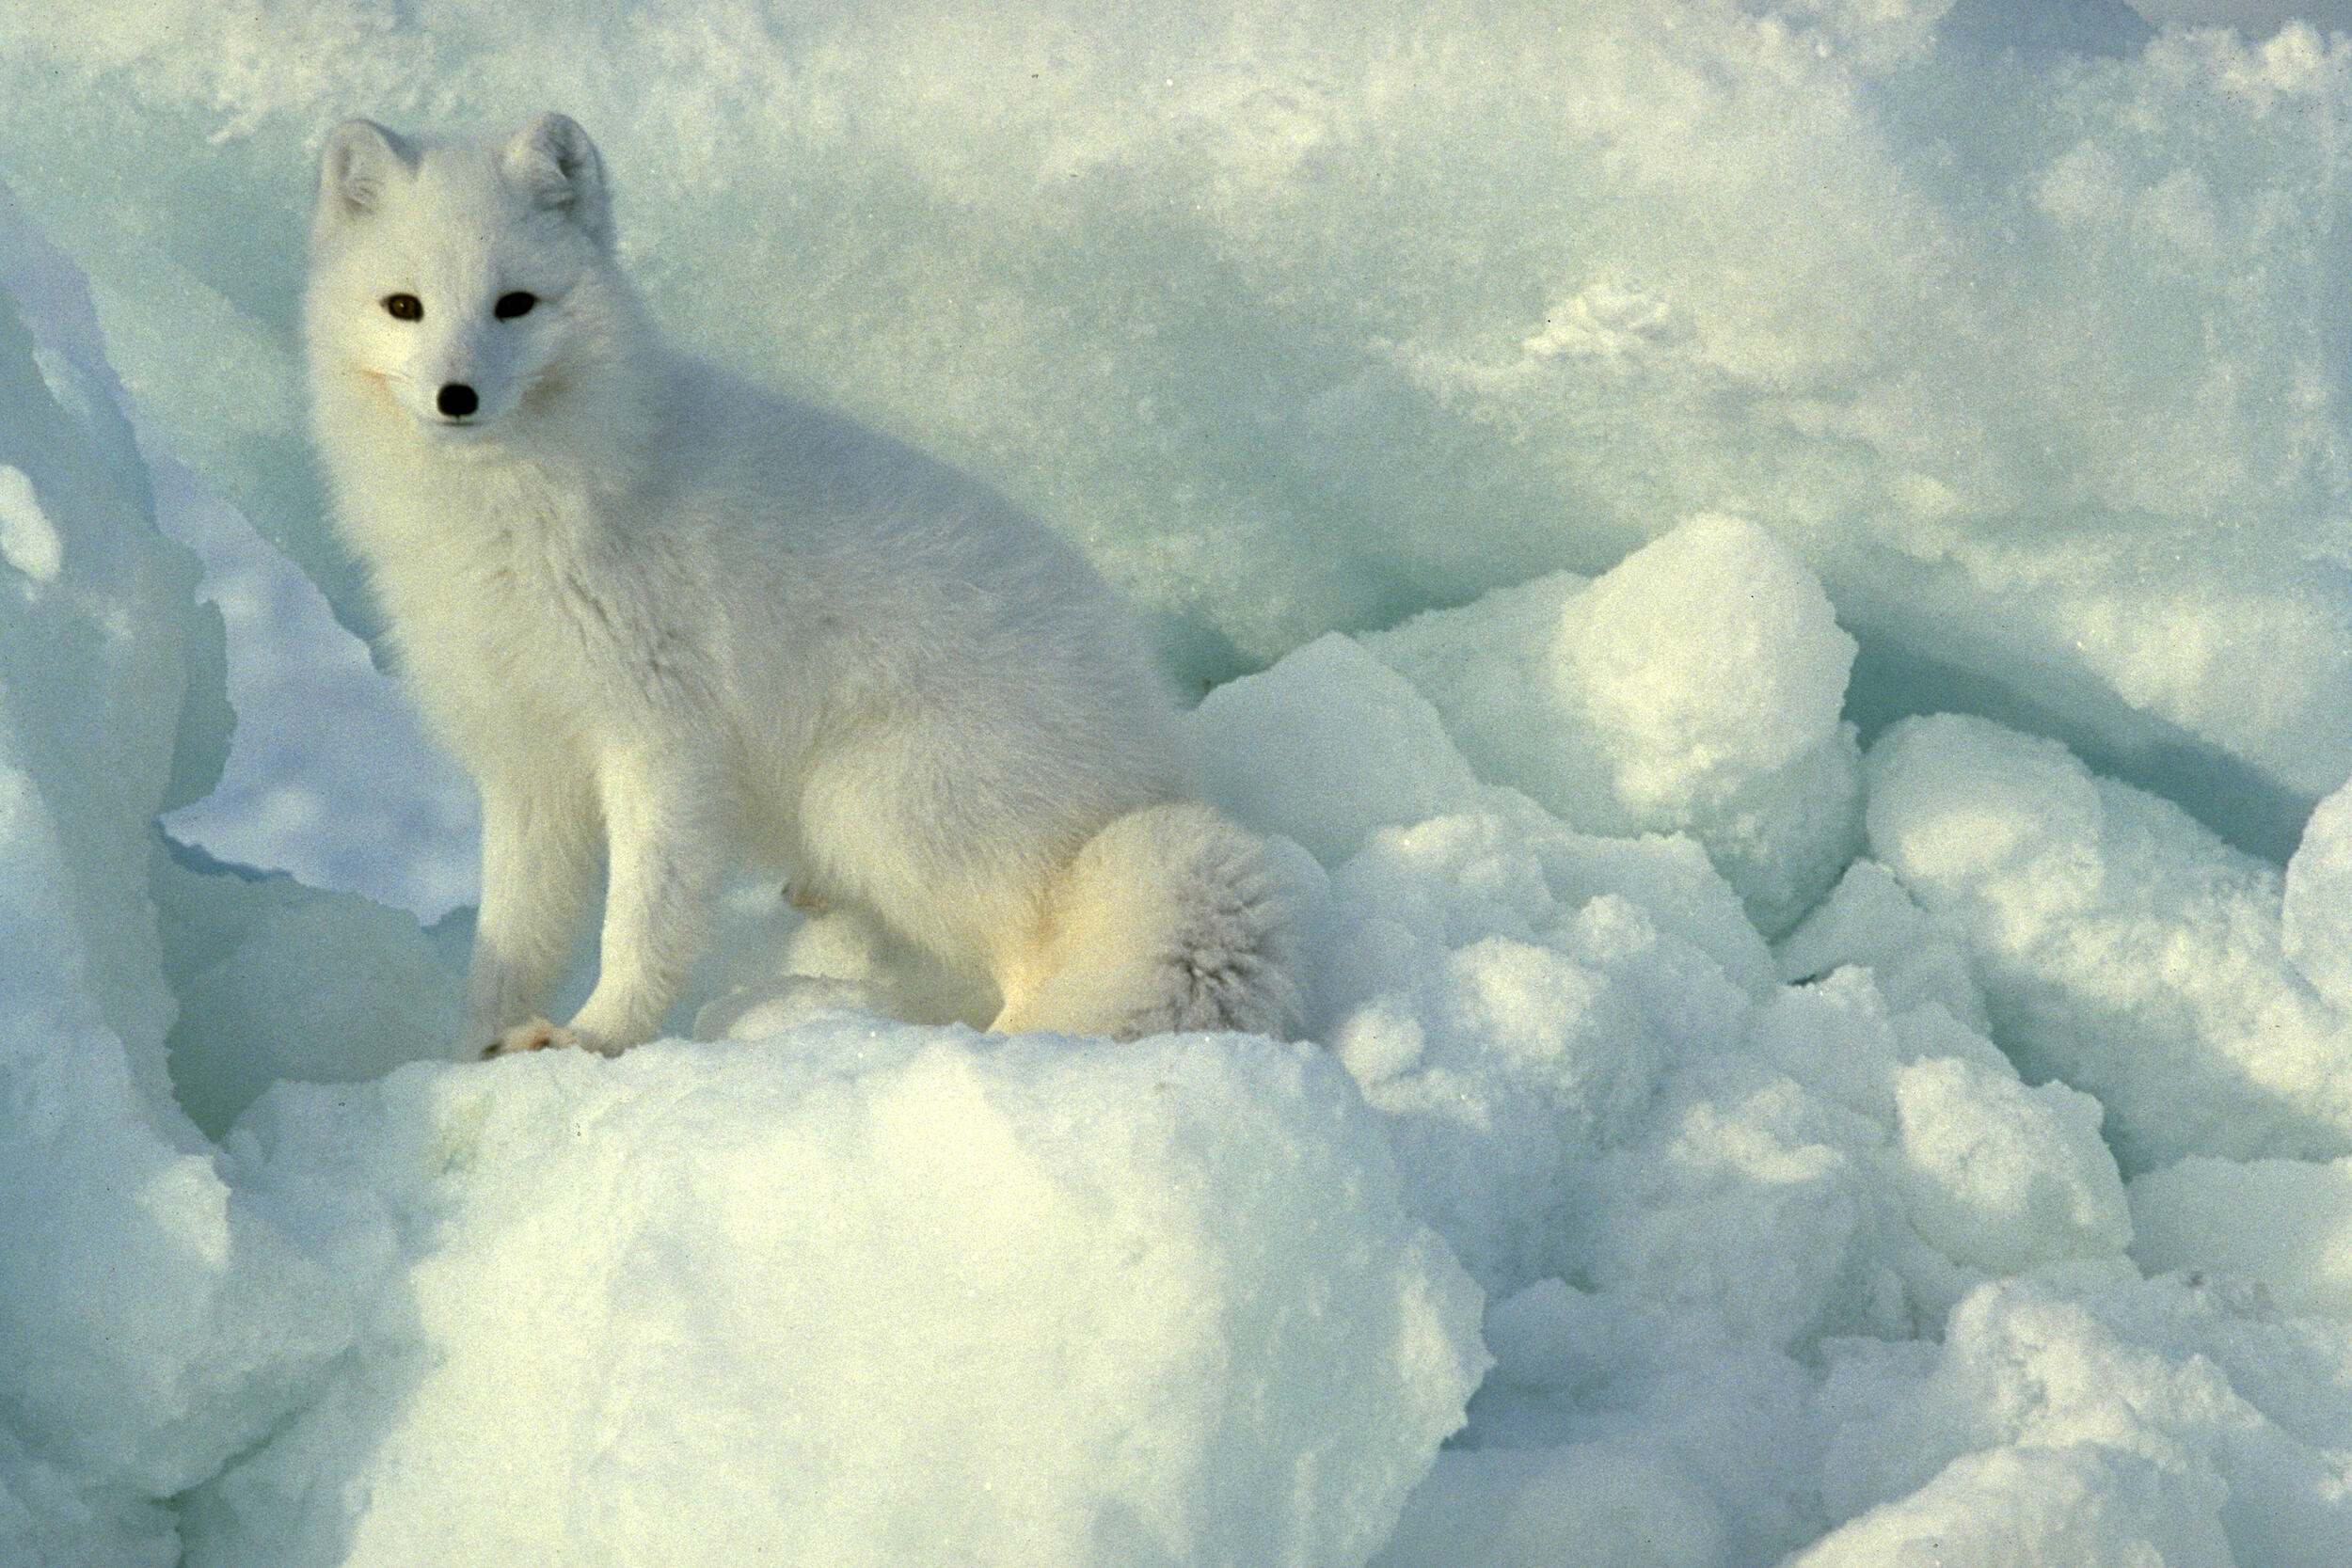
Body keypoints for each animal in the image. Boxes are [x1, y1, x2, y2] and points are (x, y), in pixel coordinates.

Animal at [303, 112, 1299, 1057]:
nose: (456, 396)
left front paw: (599, 1038)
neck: (517, 512)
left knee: (1034, 951)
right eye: (404, 306)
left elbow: (642, 923)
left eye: (515, 304)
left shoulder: (661, 739)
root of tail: (1159, 767)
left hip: (876, 805)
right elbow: (512, 939)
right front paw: (474, 1051)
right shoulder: (527, 762)